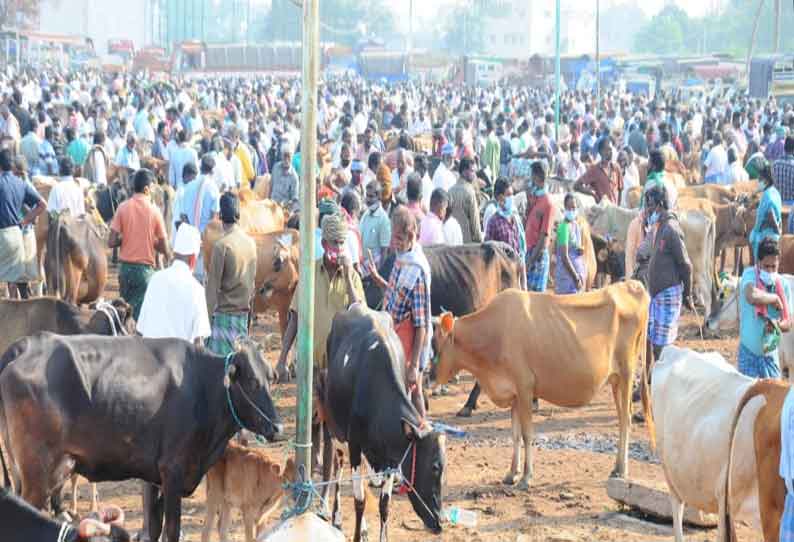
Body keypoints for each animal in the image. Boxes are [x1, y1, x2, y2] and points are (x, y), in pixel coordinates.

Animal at [320, 306, 446, 542]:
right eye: (434, 467)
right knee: (337, 465)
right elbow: (359, 501)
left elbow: (384, 504)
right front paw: (357, 534)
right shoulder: (354, 446)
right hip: (334, 427)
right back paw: (337, 516)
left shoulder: (392, 456)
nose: (441, 521)